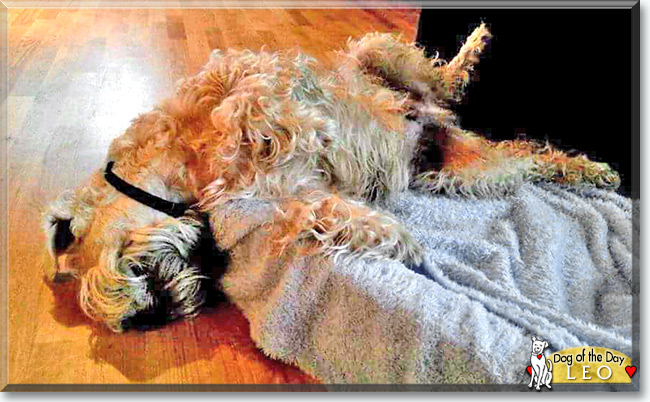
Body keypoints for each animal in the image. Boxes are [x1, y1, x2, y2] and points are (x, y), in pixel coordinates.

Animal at [40, 25, 616, 332]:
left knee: (442, 78)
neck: (182, 158)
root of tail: (438, 122)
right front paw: (398, 239)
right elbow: (332, 213)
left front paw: (301, 127)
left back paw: (471, 49)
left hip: (380, 51)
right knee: (529, 157)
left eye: (133, 268)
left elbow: (256, 107)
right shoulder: (294, 198)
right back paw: (588, 170)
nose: (151, 319)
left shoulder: (247, 78)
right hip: (469, 170)